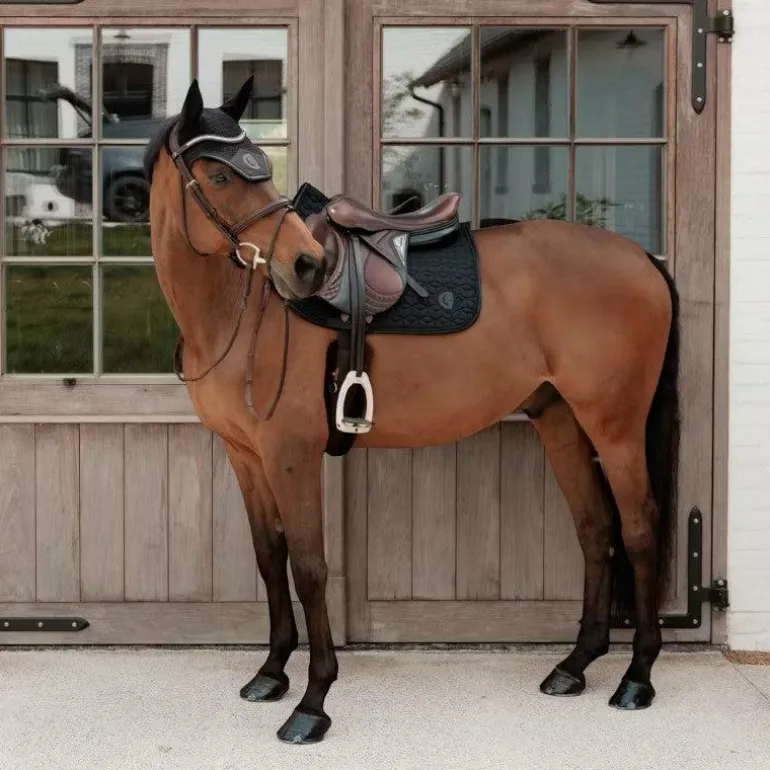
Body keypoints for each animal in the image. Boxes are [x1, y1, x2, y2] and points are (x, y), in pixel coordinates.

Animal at [145, 77, 680, 744]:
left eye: (261, 169)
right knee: (595, 528)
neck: (237, 310)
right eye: (219, 175)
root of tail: (642, 259)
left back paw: (638, 677)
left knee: (638, 530)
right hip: (560, 420)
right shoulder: (245, 455)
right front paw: (271, 674)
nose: (306, 265)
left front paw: (313, 702)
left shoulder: (290, 453)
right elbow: (270, 559)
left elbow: (310, 565)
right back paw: (575, 665)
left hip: (616, 426)